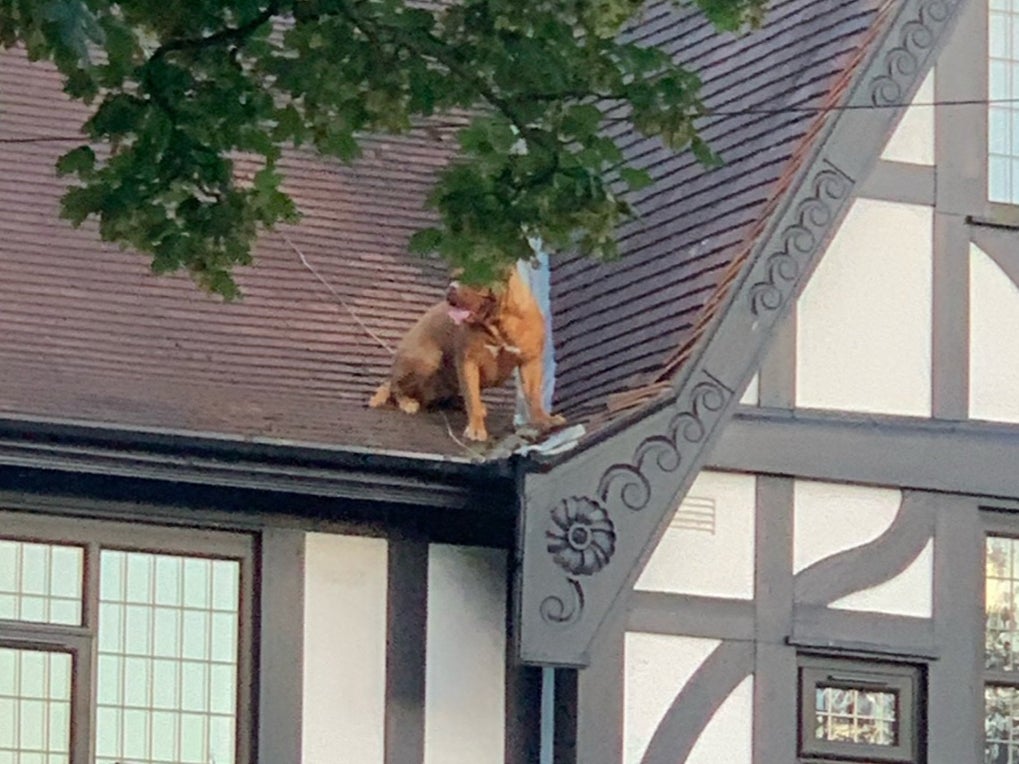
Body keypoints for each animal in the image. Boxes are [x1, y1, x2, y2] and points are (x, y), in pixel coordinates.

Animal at [370, 266, 570, 442]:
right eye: (451, 278)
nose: (451, 287)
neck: (498, 322)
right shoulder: (469, 361)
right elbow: (472, 398)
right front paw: (476, 429)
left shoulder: (530, 361)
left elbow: (534, 396)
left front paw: (544, 420)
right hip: (428, 360)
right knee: (393, 386)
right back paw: (407, 402)